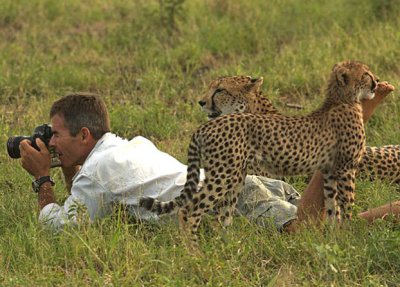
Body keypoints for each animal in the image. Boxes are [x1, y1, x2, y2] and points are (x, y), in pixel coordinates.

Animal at [141, 61, 378, 250]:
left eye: (219, 90)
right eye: (366, 74)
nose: (376, 81)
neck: (342, 100)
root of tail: (204, 127)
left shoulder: (330, 171)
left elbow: (332, 207)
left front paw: (334, 238)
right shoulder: (346, 168)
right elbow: (346, 205)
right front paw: (349, 237)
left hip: (235, 176)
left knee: (222, 216)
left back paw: (227, 247)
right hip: (224, 175)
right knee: (190, 209)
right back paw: (194, 252)